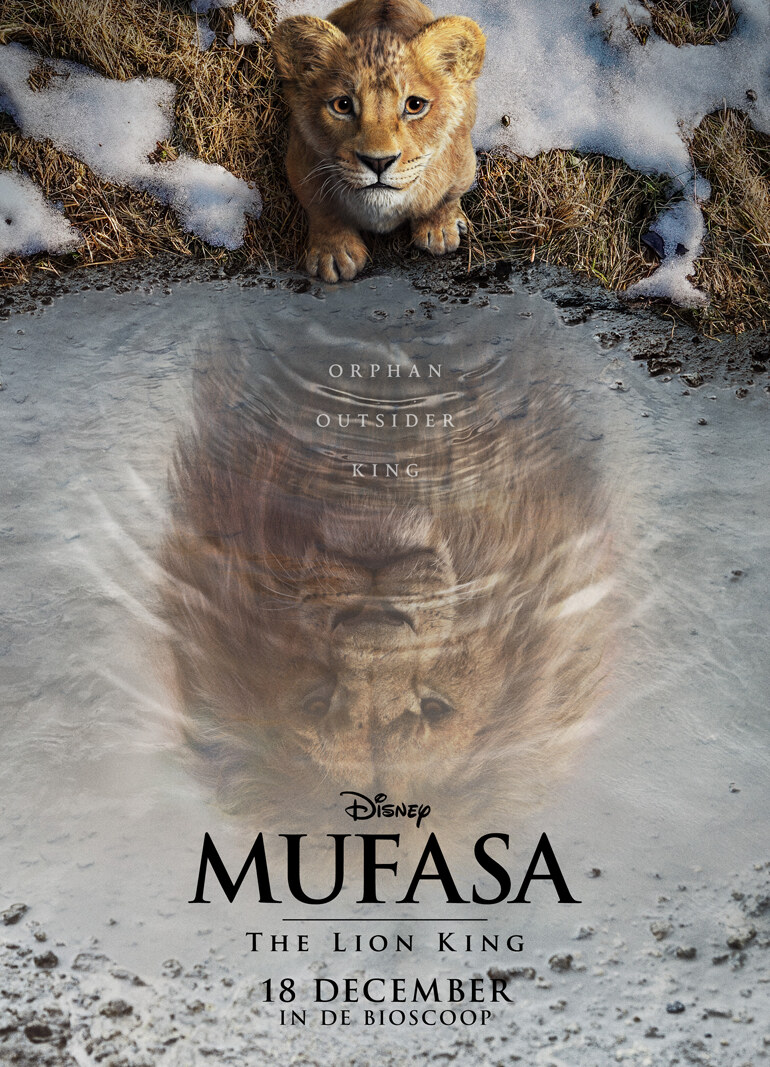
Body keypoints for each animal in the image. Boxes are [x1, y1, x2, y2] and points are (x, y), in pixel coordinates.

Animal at [271, 0, 486, 282]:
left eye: (415, 105)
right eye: (342, 105)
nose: (378, 162)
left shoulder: (463, 161)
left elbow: (446, 196)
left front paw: (440, 229)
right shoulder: (300, 160)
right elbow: (321, 208)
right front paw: (335, 253)